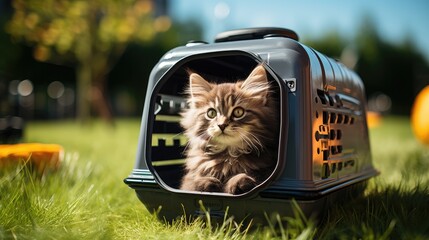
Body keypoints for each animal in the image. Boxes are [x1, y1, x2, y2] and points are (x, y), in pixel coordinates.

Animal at [177, 65, 278, 195]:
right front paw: (205, 182)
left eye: (238, 112)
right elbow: (193, 183)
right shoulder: (187, 182)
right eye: (211, 113)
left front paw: (239, 181)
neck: (227, 155)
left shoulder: (265, 172)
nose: (222, 125)